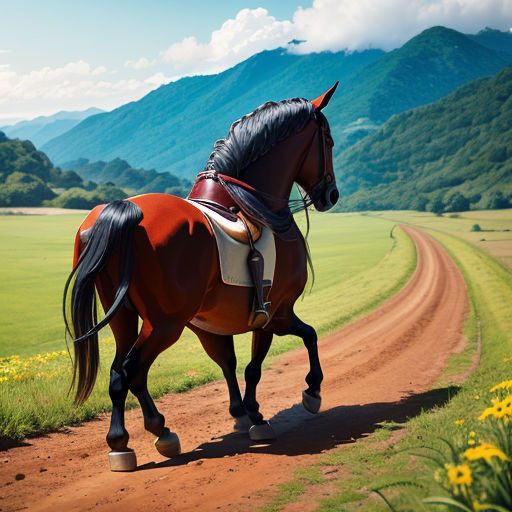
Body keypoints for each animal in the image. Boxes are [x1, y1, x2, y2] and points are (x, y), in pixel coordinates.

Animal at [64, 82, 340, 470]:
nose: (331, 194)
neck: (257, 207)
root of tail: (123, 210)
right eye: (328, 141)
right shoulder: (276, 313)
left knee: (122, 372)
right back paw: (148, 434)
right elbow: (291, 346)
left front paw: (241, 414)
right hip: (165, 324)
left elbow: (229, 362)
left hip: (124, 317)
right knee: (132, 370)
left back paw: (132, 438)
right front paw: (296, 398)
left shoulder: (212, 325)